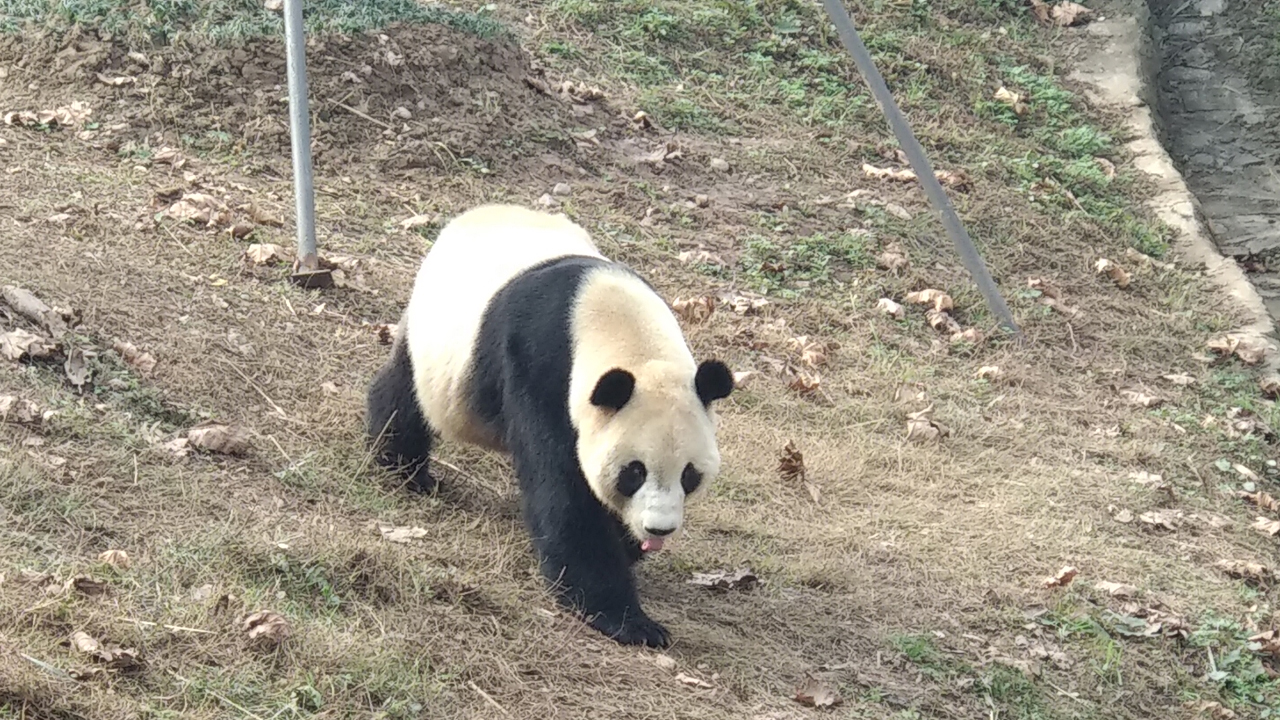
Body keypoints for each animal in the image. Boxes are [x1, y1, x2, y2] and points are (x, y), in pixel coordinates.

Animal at [366, 202, 737, 645]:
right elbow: (564, 493)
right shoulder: (540, 368)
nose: (659, 529)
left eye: (689, 475)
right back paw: (403, 468)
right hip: (438, 338)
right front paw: (629, 620)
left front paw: (627, 544)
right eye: (634, 472)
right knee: (407, 395)